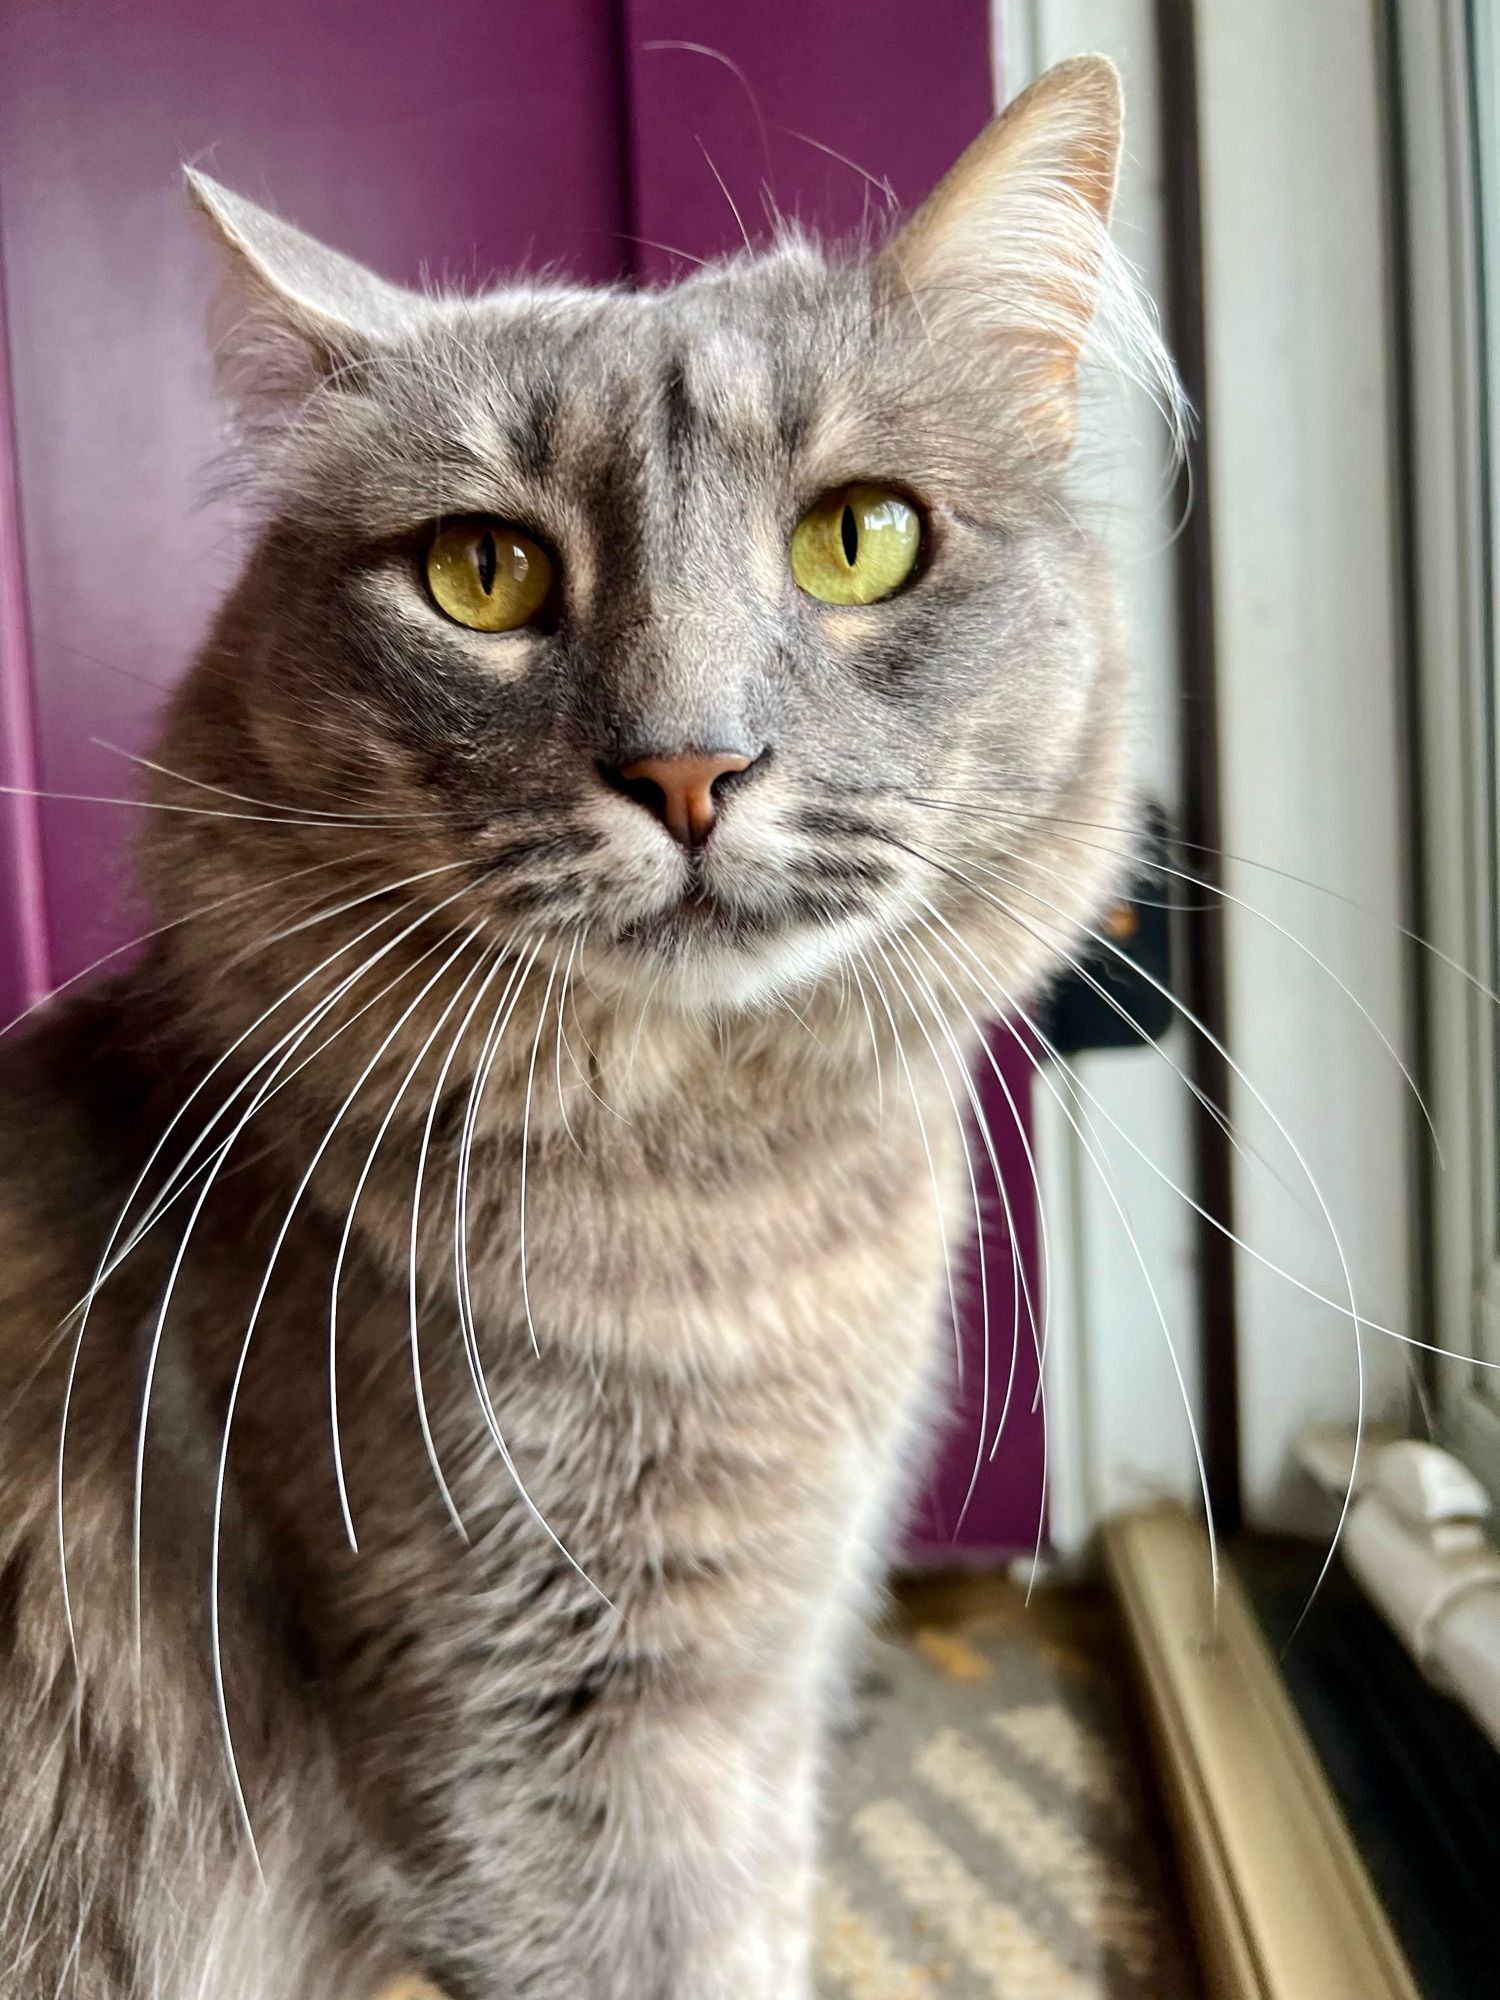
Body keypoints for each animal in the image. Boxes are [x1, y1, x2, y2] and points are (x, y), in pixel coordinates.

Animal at [0, 50, 1176, 2000]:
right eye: (481, 572)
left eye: (861, 539)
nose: (691, 768)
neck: (735, 1206)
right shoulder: (558, 1741)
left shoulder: (763, 1689)